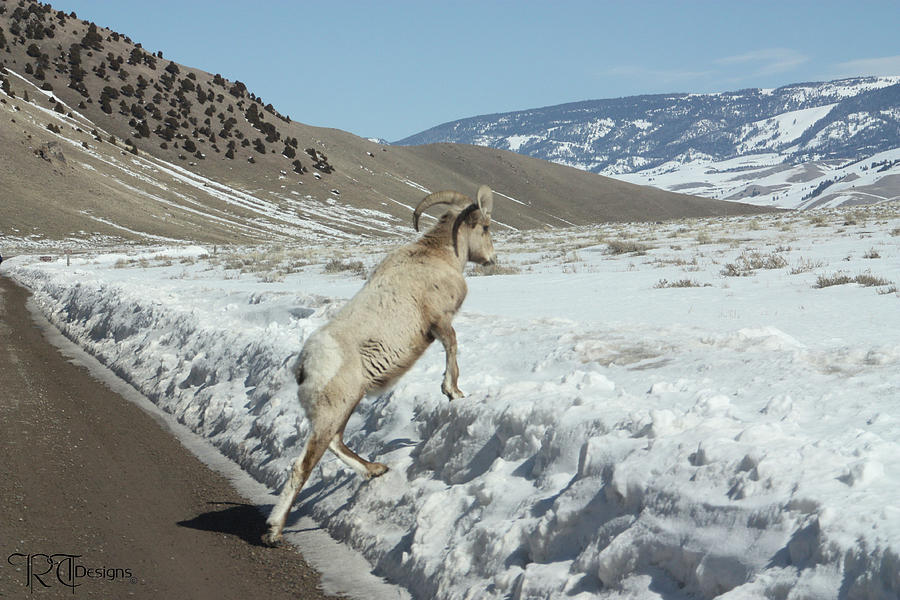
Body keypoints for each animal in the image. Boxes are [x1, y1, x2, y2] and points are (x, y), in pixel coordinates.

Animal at [264, 185, 496, 548]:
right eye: (484, 227)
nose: (491, 259)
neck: (437, 256)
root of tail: (304, 368)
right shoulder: (439, 322)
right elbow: (452, 347)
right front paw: (454, 393)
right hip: (333, 410)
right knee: (302, 466)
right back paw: (273, 531)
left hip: (343, 407)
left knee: (336, 444)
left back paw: (376, 470)